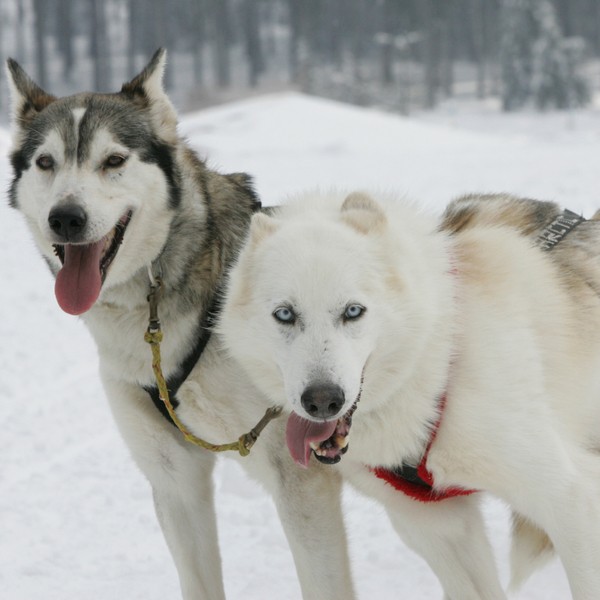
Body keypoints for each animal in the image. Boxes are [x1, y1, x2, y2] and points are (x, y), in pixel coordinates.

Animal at [221, 190, 600, 596]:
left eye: (353, 311)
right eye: (285, 314)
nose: (322, 400)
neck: (440, 367)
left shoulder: (571, 499)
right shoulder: (438, 525)